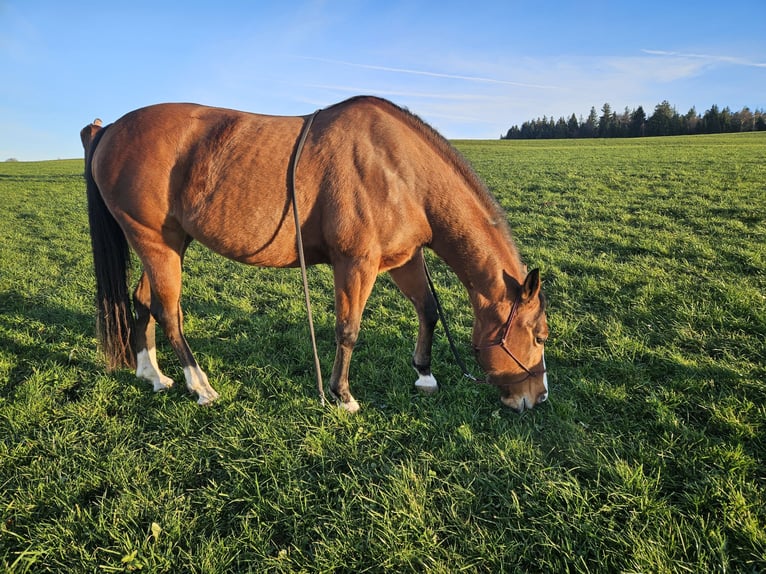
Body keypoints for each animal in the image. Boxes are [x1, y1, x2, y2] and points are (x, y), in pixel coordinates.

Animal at [80, 96, 549, 413]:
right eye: (540, 336)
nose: (538, 397)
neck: (399, 169)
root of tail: (107, 130)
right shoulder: (356, 264)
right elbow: (348, 330)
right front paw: (342, 395)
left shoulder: (402, 259)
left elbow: (428, 309)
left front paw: (425, 375)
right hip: (155, 242)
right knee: (168, 312)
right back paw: (200, 385)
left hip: (168, 243)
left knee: (143, 301)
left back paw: (154, 375)